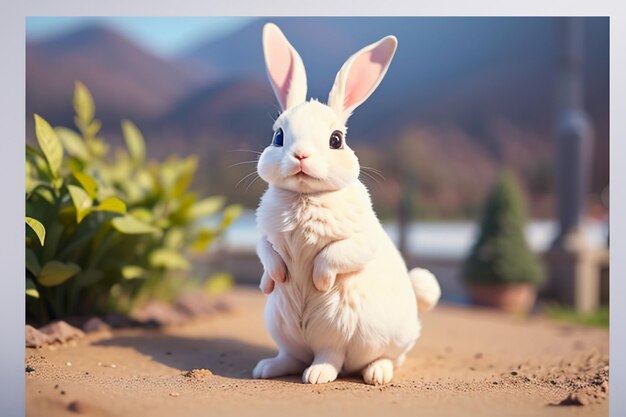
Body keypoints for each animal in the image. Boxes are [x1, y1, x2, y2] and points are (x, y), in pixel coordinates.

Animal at [250, 24, 438, 386]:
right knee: (294, 355)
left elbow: (336, 254)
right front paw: (276, 277)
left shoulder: (362, 240)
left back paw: (345, 375)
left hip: (342, 329)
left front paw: (320, 281)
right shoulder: (265, 237)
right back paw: (266, 368)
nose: (301, 156)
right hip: (281, 326)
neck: (306, 196)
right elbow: (266, 253)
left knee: (338, 357)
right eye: (278, 137)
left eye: (336, 140)